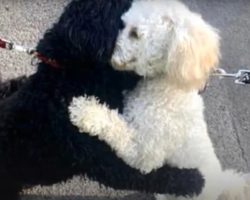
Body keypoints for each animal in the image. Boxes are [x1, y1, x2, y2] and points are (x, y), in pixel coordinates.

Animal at [69, 0, 250, 199]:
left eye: (134, 33)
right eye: (123, 24)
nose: (106, 53)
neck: (167, 86)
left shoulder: (145, 152)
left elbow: (116, 128)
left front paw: (86, 112)